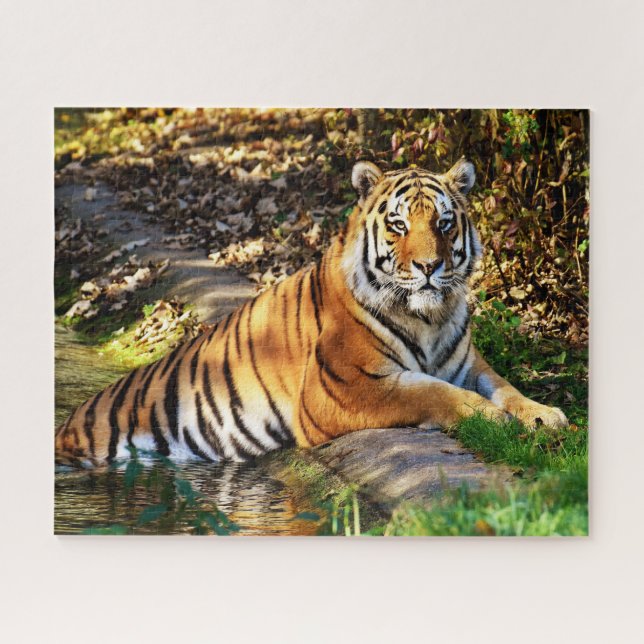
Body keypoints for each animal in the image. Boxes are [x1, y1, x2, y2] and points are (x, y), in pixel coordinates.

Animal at [55, 159, 568, 467]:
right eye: (399, 224)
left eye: (443, 223)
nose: (428, 266)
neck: (429, 318)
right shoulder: (342, 387)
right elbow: (432, 393)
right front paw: (491, 420)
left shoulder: (468, 365)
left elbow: (505, 387)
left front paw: (544, 415)